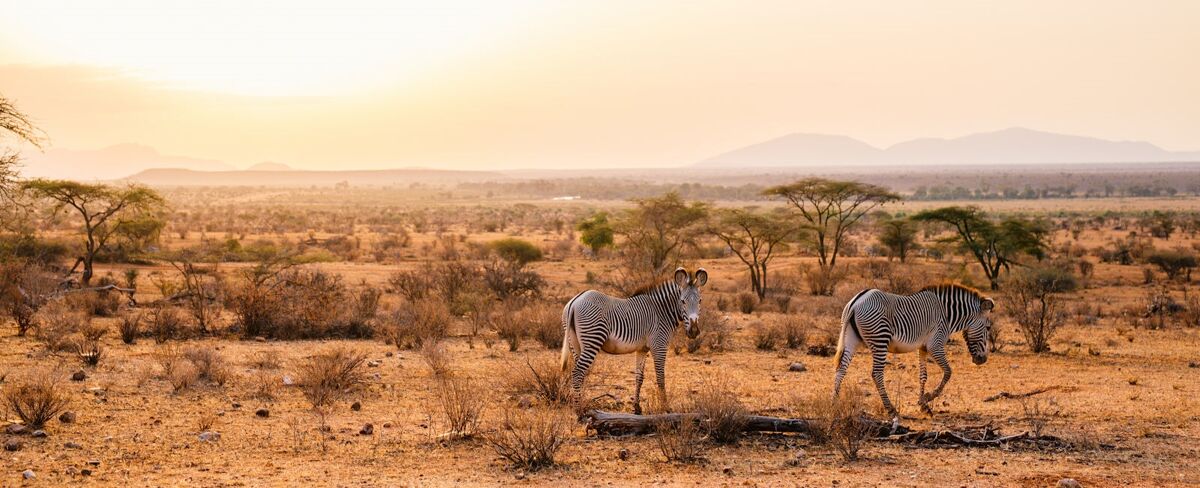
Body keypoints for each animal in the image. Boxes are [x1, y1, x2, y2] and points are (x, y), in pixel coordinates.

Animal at [559, 267, 705, 412]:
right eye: (683, 301)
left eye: (700, 301)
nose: (694, 331)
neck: (661, 311)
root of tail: (576, 301)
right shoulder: (659, 345)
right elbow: (660, 377)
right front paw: (665, 407)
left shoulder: (642, 349)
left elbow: (639, 377)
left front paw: (637, 407)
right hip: (593, 339)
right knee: (578, 373)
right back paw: (579, 411)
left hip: (575, 344)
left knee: (579, 373)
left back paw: (581, 403)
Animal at [830, 282, 998, 431]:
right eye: (988, 327)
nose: (982, 360)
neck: (947, 314)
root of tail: (856, 302)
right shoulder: (935, 345)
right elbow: (948, 372)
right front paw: (929, 397)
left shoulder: (922, 347)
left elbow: (923, 376)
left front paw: (923, 405)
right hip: (880, 338)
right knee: (876, 374)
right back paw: (891, 410)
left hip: (851, 338)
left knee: (841, 369)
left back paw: (835, 403)